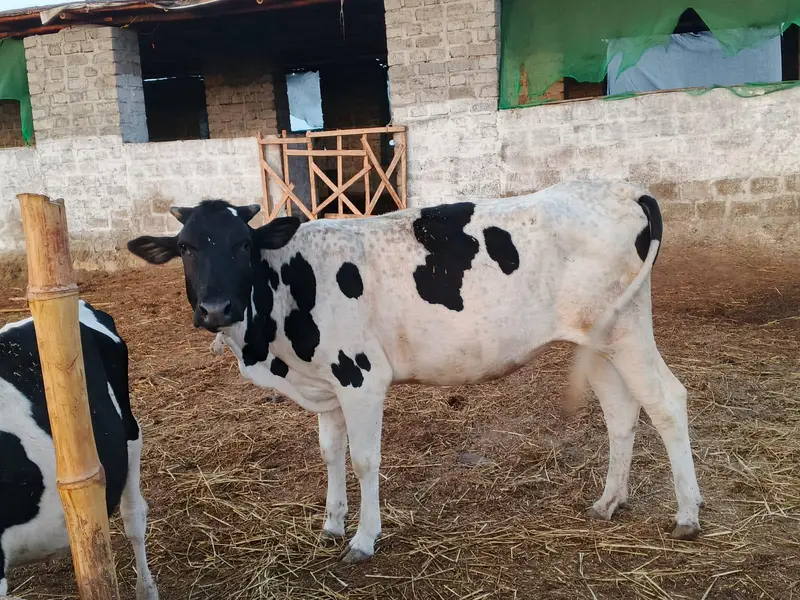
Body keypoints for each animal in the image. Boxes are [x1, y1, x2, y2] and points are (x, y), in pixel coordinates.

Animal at [127, 180, 703, 563]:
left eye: (243, 244)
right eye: (184, 248)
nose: (215, 308)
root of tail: (627, 189)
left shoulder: (359, 376)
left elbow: (364, 460)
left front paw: (363, 539)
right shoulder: (326, 385)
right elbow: (330, 453)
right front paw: (331, 523)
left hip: (627, 330)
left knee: (667, 401)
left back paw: (687, 515)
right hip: (597, 338)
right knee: (622, 411)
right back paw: (609, 502)